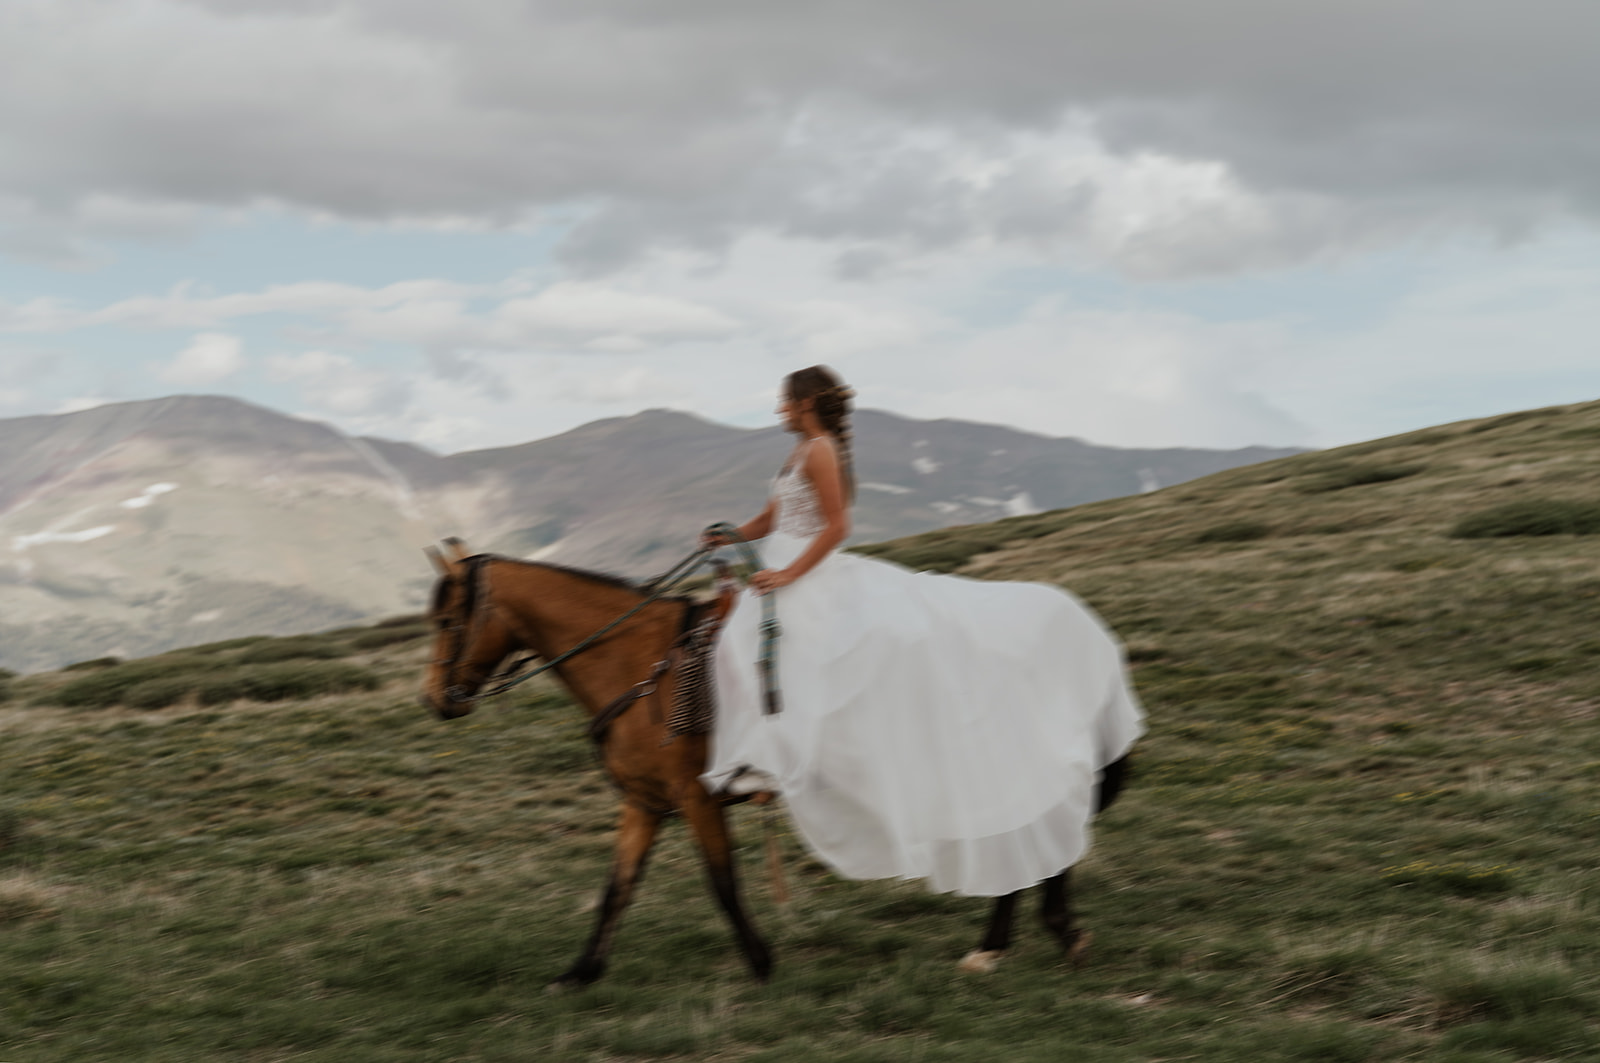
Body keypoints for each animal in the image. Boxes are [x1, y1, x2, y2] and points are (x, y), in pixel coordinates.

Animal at [419, 544, 1132, 986]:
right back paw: (1005, 945)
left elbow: (722, 883)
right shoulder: (645, 801)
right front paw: (580, 973)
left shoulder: (695, 796)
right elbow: (617, 887)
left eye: (450, 617)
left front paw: (762, 963)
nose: (434, 700)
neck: (639, 667)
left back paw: (1034, 938)